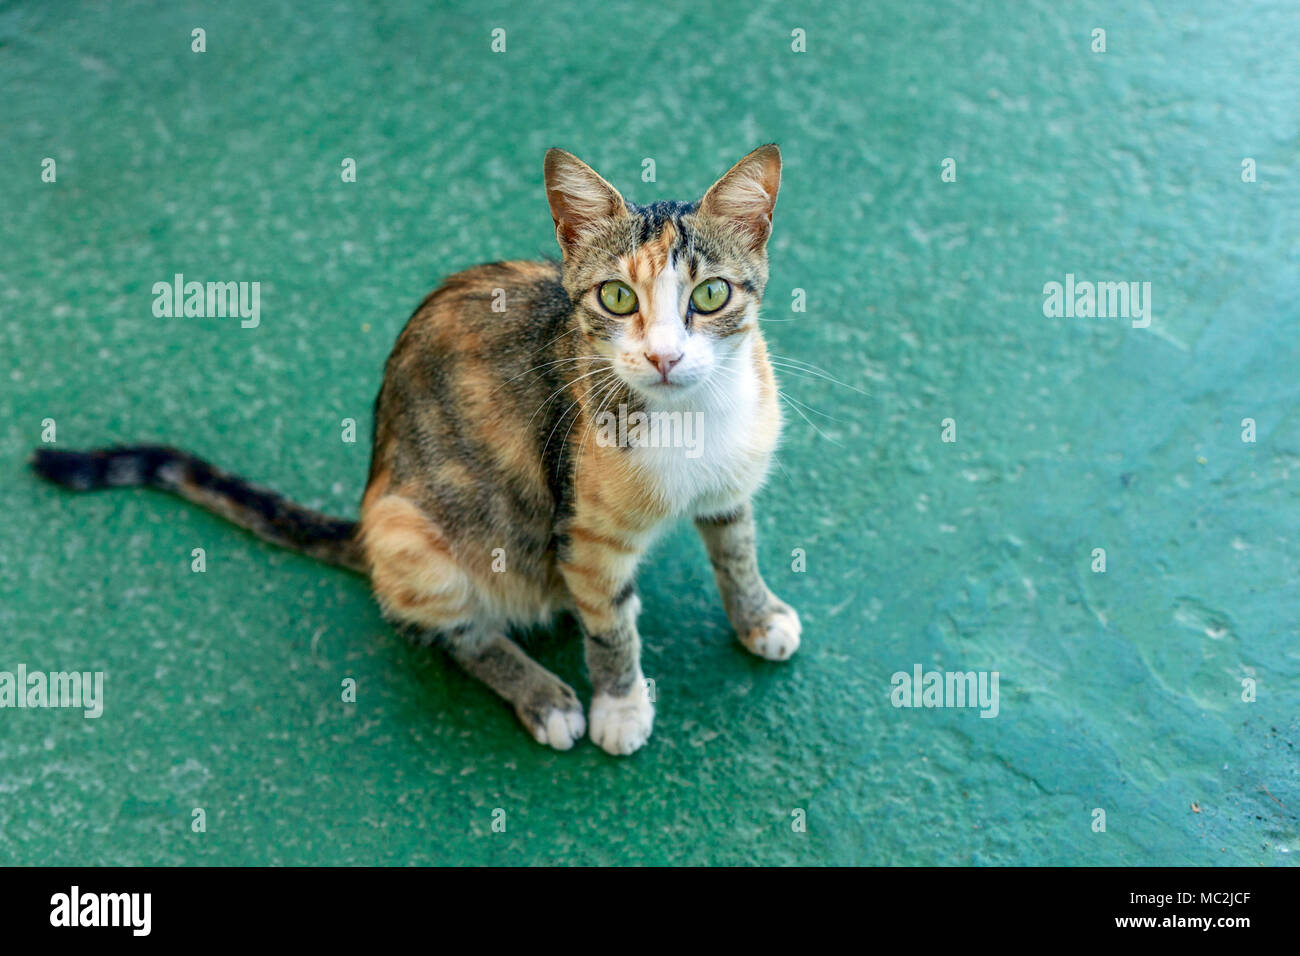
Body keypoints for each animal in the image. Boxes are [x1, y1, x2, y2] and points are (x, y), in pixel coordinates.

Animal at [30, 145, 795, 754]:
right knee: (454, 630)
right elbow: (608, 624)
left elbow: (736, 553)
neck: (690, 419)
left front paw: (757, 618)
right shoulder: (584, 535)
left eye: (711, 294)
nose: (665, 357)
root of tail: (370, 508)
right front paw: (620, 705)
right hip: (413, 533)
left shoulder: (731, 484)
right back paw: (543, 696)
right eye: (615, 297)